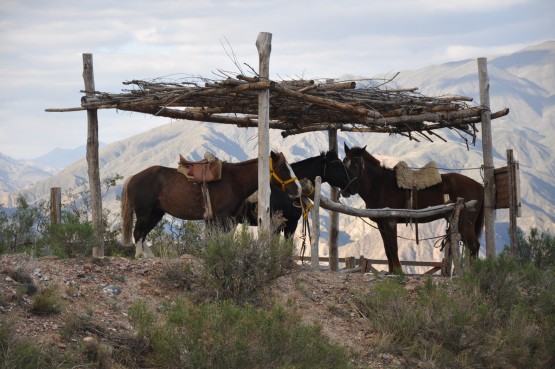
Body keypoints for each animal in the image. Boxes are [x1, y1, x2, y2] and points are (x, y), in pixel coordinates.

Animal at [121, 151, 302, 258]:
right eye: (283, 168)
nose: (299, 189)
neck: (235, 181)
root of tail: (133, 177)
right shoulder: (222, 219)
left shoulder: (230, 220)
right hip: (145, 214)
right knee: (138, 233)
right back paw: (140, 257)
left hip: (155, 214)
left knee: (143, 234)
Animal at [346, 144, 484, 274]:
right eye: (344, 162)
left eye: (356, 164)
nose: (347, 189)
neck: (380, 185)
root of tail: (479, 186)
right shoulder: (381, 224)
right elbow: (387, 249)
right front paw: (390, 272)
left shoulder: (390, 221)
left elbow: (393, 248)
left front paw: (398, 272)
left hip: (464, 223)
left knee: (473, 246)